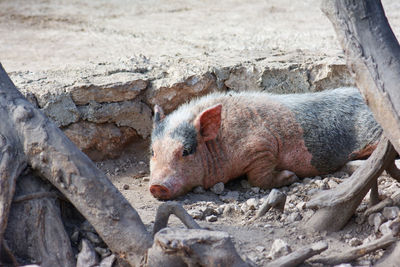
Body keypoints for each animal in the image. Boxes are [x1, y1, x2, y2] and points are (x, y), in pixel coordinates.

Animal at [149, 87, 382, 200]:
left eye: (186, 151)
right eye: (152, 151)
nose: (156, 186)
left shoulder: (262, 146)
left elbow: (258, 177)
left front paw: (290, 176)